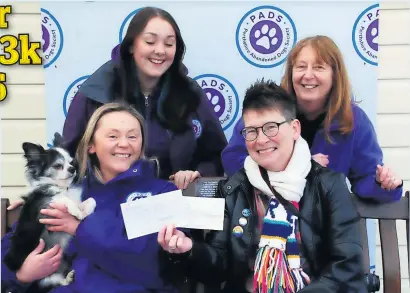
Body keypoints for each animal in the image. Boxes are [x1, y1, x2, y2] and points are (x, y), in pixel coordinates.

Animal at [3, 133, 96, 290]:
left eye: (71, 162)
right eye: (58, 166)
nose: (72, 169)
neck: (61, 187)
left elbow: (90, 200)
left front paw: (85, 210)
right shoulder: (44, 208)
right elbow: (59, 198)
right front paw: (75, 210)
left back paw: (69, 276)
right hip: (42, 277)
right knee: (52, 282)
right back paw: (67, 279)